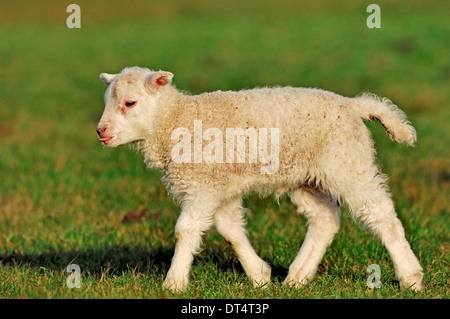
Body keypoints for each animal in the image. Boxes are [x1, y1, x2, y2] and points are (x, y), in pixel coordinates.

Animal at [96, 67, 424, 292]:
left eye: (129, 103)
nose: (101, 131)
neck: (176, 120)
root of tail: (353, 105)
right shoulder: (220, 186)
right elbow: (230, 230)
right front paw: (260, 277)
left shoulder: (203, 185)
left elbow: (185, 231)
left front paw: (173, 283)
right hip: (306, 176)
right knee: (325, 218)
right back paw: (297, 278)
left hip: (347, 164)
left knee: (381, 215)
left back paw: (410, 278)